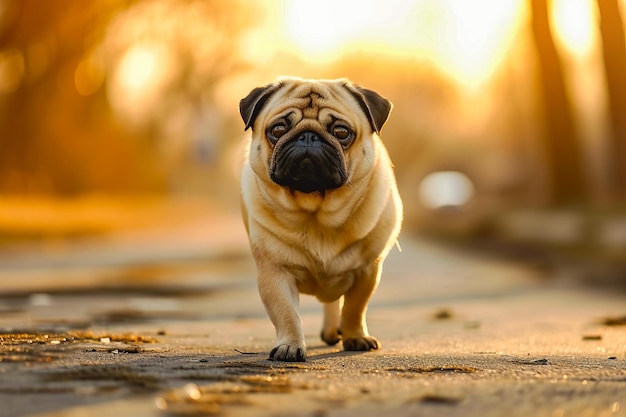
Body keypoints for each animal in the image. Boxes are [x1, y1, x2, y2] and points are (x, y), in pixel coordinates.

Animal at [236, 77, 402, 360]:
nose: (308, 136)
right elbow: (286, 312)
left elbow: (355, 308)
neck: (316, 212)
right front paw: (290, 345)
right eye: (278, 129)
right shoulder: (274, 272)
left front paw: (355, 337)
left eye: (342, 132)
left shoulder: (367, 270)